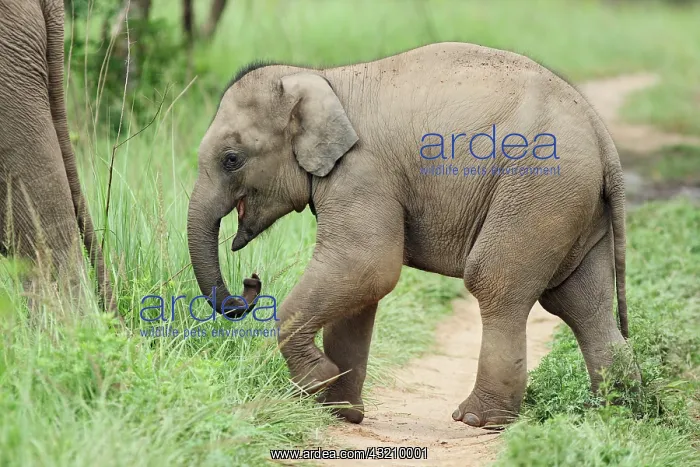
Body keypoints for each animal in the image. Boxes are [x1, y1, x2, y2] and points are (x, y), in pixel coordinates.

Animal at [187, 42, 631, 428]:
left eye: (231, 159)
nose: (252, 281)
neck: (319, 78)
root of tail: (602, 135)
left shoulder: (362, 173)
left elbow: (367, 266)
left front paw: (317, 381)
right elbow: (360, 289)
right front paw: (340, 413)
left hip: (538, 189)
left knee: (495, 283)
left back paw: (477, 420)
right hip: (574, 205)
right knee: (581, 303)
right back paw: (615, 412)